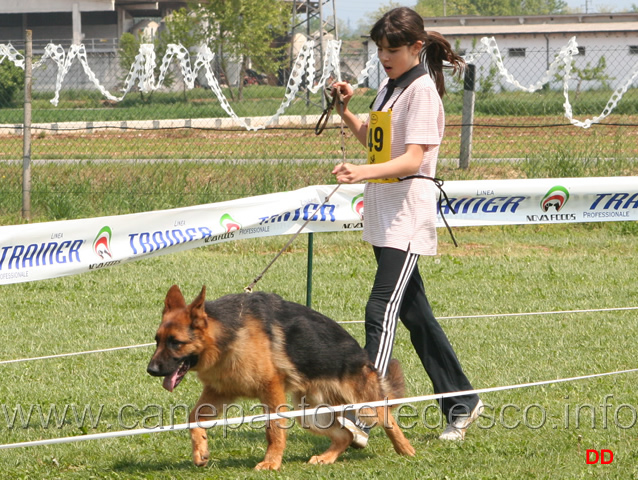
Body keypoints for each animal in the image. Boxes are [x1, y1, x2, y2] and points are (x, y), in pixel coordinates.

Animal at [146, 284, 416, 468]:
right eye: (157, 341)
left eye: (176, 343)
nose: (151, 370)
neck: (226, 336)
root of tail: (365, 358)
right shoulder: (220, 392)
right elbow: (193, 417)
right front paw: (200, 449)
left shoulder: (271, 390)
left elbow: (274, 429)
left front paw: (271, 463)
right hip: (309, 415)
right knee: (346, 435)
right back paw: (326, 458)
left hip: (364, 406)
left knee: (388, 418)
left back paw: (406, 450)